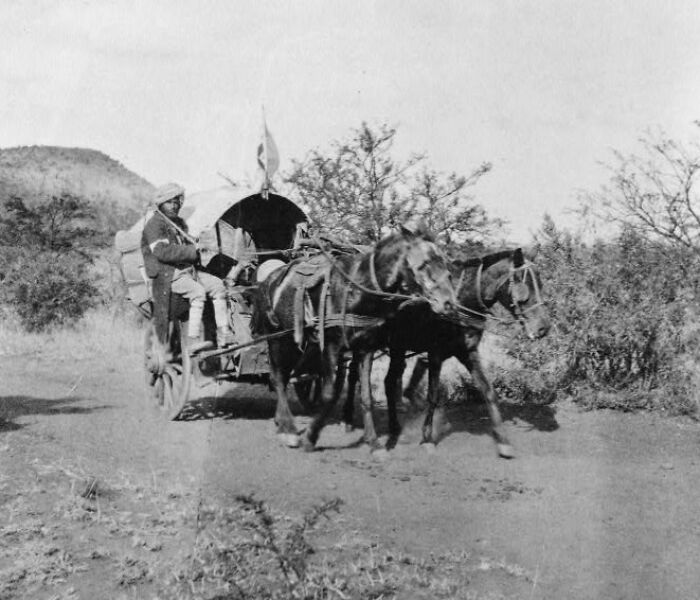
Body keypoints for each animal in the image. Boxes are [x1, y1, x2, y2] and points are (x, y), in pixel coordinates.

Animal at [253, 226, 457, 451]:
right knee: (278, 378)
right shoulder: (331, 346)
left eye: (445, 263)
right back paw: (288, 429)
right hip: (278, 339)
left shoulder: (366, 347)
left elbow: (366, 396)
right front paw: (311, 437)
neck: (356, 291)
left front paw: (374, 443)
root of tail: (269, 280)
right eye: (423, 264)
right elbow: (330, 394)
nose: (448, 303)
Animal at [342, 248, 550, 458]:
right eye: (524, 285)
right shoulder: (436, 354)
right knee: (358, 381)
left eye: (540, 283)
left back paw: (394, 428)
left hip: (397, 347)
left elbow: (488, 391)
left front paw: (503, 440)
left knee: (389, 382)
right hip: (366, 346)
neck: (459, 303)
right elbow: (433, 396)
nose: (543, 328)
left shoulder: (468, 352)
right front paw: (427, 438)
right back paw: (355, 426)